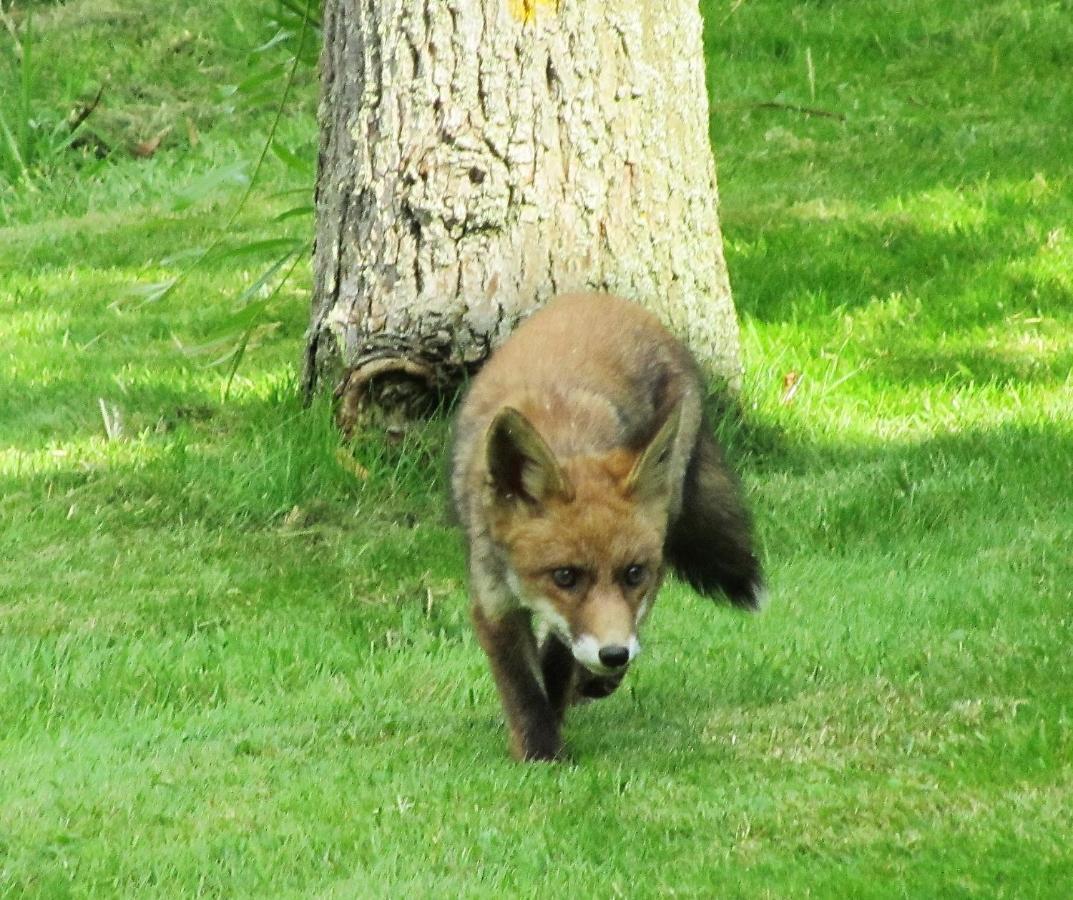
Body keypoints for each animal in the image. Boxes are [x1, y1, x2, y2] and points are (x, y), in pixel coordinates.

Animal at [448, 293, 759, 759]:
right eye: (564, 576)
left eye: (632, 574)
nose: (615, 655)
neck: (562, 436)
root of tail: (610, 301)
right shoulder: (493, 599)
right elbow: (522, 689)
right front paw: (539, 751)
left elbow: (559, 661)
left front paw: (559, 713)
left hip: (669, 509)